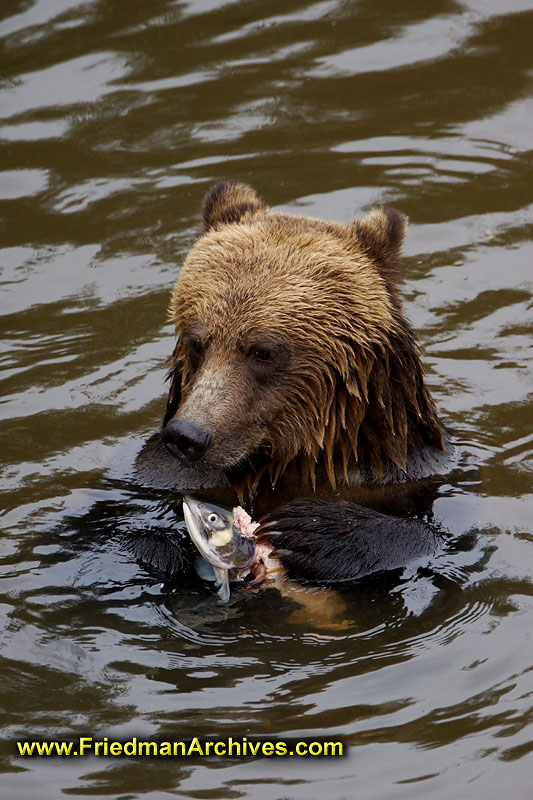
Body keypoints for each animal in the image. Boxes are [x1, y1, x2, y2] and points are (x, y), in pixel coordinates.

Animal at [135, 181, 450, 580]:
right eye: (197, 342)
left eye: (261, 351)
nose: (188, 436)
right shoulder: (159, 474)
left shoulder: (408, 473)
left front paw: (313, 531)